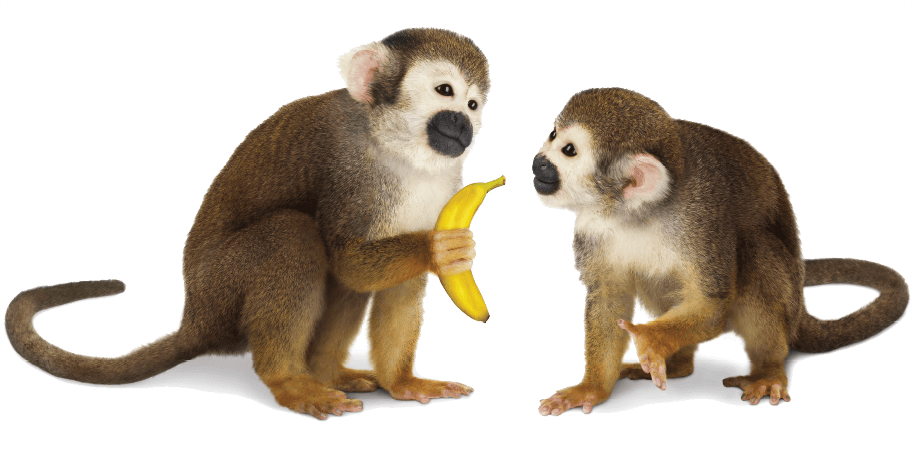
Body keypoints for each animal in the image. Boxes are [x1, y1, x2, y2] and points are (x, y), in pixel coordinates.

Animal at [4, 27, 491, 420]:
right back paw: (289, 380)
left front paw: (402, 383)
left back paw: (324, 372)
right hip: (222, 286)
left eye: (473, 104)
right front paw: (438, 248)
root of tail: (196, 318)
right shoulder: (351, 170)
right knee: (294, 235)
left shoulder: (446, 184)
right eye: (444, 91)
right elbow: (349, 260)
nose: (463, 125)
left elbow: (399, 284)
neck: (398, 148)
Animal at [534, 87, 909, 415]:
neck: (638, 212)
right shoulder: (591, 228)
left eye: (569, 151)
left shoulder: (702, 218)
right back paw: (680, 364)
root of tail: (798, 311)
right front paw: (593, 389)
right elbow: (609, 298)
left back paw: (768, 370)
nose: (539, 162)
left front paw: (652, 339)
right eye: (553, 135)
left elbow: (712, 303)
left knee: (756, 251)